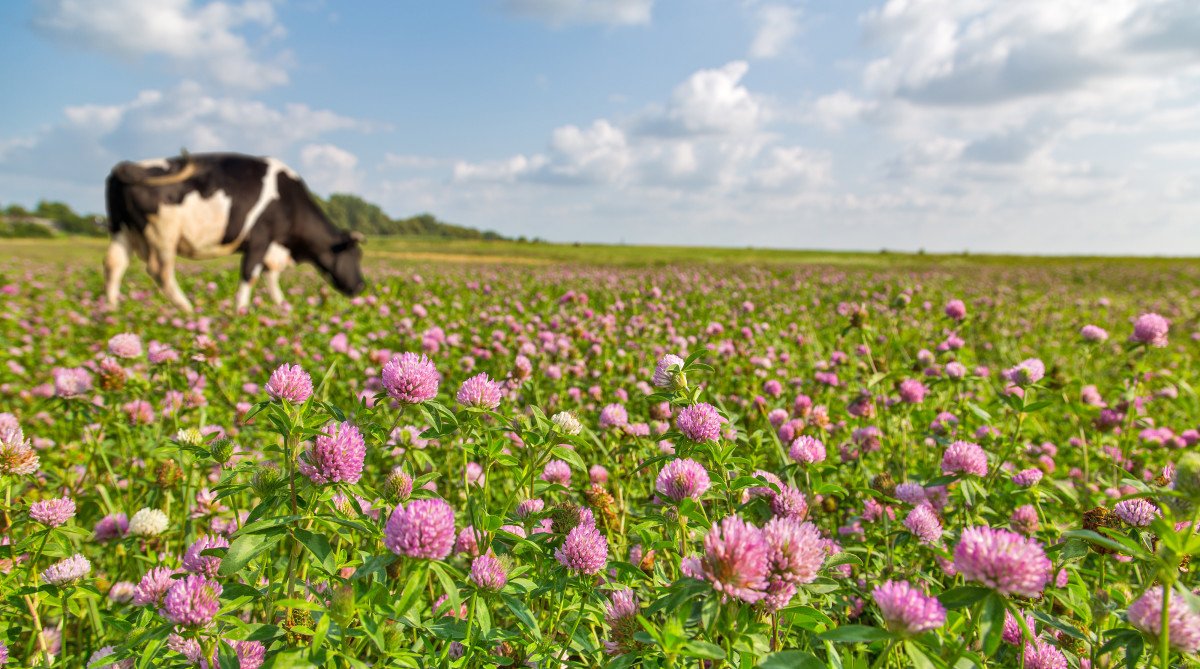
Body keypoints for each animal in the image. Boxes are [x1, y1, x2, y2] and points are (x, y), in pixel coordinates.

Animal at [102, 153, 364, 314]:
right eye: (355, 255)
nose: (361, 286)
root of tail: (126, 166)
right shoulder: (260, 238)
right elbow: (250, 274)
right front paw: (241, 311)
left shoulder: (272, 247)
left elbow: (270, 277)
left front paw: (282, 306)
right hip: (163, 232)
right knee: (161, 271)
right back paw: (188, 309)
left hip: (121, 229)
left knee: (115, 264)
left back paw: (111, 310)